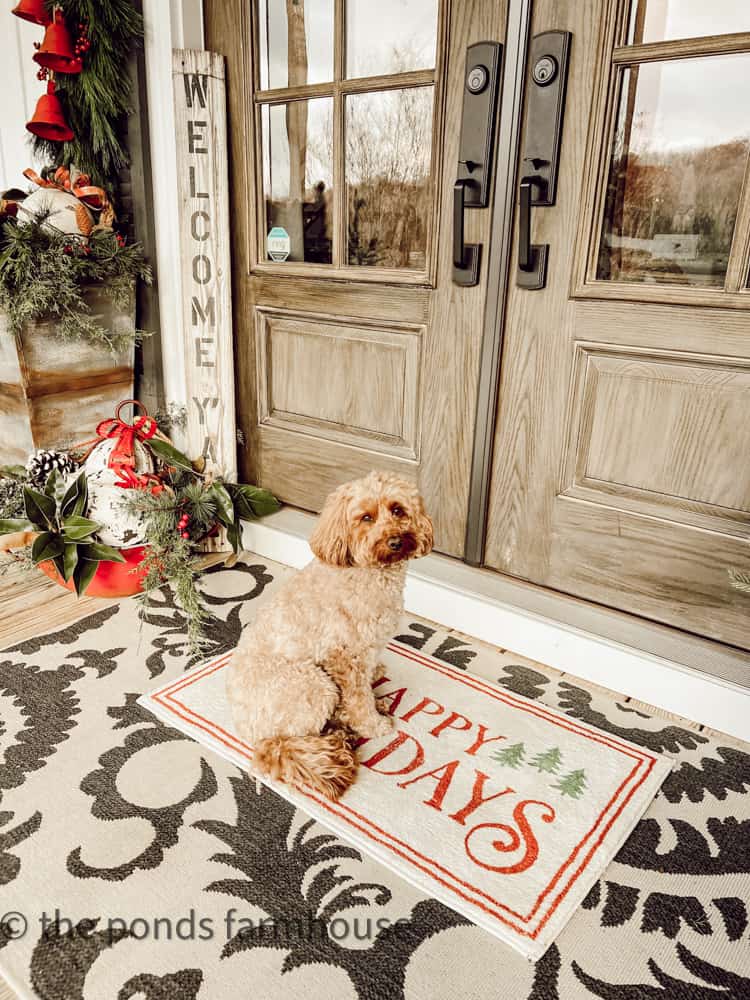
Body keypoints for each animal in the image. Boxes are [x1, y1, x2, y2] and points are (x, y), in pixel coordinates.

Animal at [228, 472, 434, 800]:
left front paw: (376, 678)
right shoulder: (345, 655)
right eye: (366, 517)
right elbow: (358, 698)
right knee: (306, 732)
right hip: (314, 684)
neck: (367, 572)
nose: (395, 541)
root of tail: (253, 732)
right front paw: (373, 725)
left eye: (398, 509)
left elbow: (367, 676)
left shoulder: (366, 648)